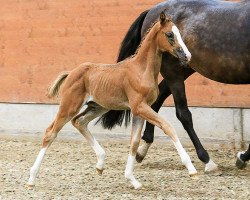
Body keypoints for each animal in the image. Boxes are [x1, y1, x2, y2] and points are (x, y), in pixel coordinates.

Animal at [26, 12, 195, 189]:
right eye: (169, 34)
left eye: (179, 33)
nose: (187, 56)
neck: (141, 70)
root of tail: (71, 72)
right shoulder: (139, 107)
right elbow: (167, 126)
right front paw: (191, 169)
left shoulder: (140, 111)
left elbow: (134, 141)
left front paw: (132, 179)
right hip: (69, 106)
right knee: (50, 133)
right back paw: (31, 179)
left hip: (98, 107)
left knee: (79, 122)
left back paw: (100, 164)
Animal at [97, 0, 250, 171]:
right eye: (170, 34)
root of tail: (152, 11)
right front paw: (242, 157)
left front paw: (242, 157)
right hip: (173, 73)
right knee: (183, 114)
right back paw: (207, 160)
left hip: (181, 70)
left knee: (156, 103)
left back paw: (142, 149)